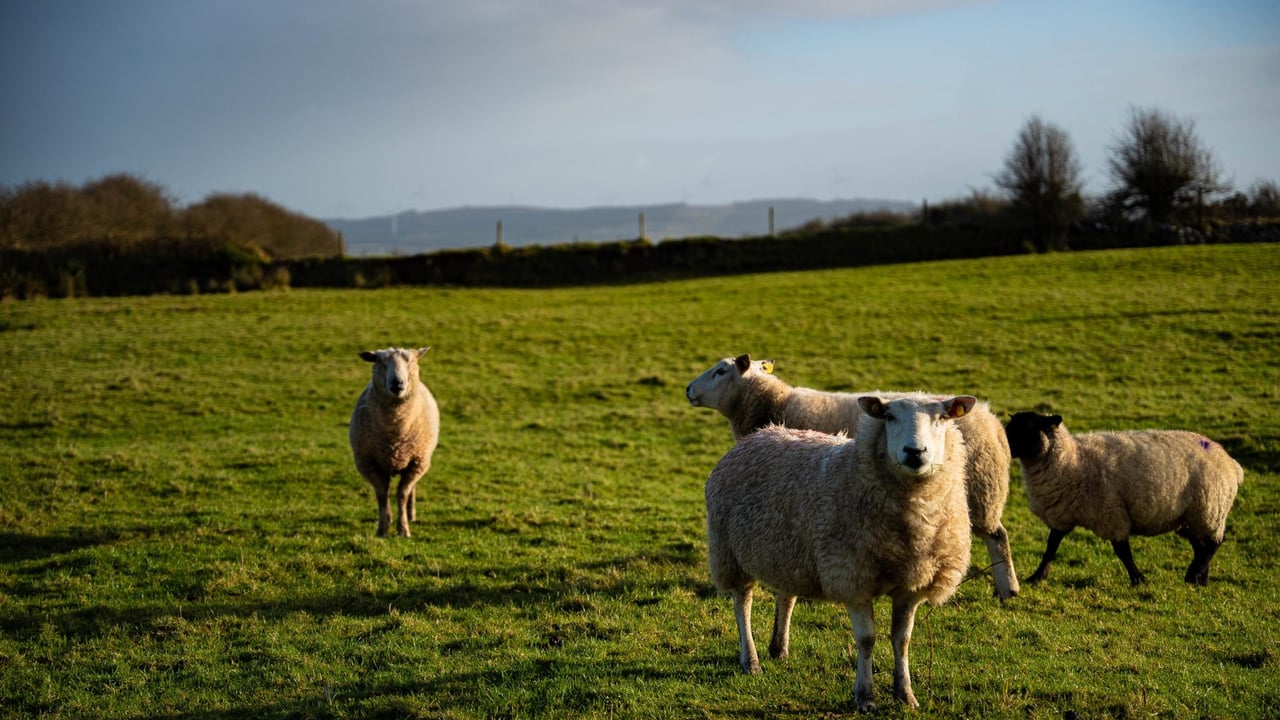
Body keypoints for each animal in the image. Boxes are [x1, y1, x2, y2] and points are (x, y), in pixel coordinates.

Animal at [349, 346, 440, 537]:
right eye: (381, 362)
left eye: (410, 361)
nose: (397, 383)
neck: (395, 431)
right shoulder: (367, 463)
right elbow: (382, 495)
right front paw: (382, 528)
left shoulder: (417, 462)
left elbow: (402, 494)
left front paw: (403, 528)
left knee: (411, 489)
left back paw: (411, 514)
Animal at [687, 353, 1020, 601]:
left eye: (720, 371)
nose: (689, 389)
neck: (771, 403)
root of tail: (993, 423)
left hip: (979, 491)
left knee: (997, 536)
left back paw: (1008, 588)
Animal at [705, 394, 975, 711]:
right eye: (889, 416)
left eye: (942, 418)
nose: (915, 452)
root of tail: (760, 434)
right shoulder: (851, 576)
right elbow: (867, 639)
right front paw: (865, 696)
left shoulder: (912, 584)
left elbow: (903, 640)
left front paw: (905, 694)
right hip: (729, 552)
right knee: (743, 604)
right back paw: (751, 660)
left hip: (790, 550)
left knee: (786, 597)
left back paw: (779, 647)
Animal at [1004, 411, 1244, 586]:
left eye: (1027, 428)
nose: (1003, 446)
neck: (1073, 460)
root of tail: (1231, 462)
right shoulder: (1062, 515)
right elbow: (1051, 548)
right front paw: (1037, 577)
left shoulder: (1112, 514)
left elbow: (1122, 552)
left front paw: (1138, 579)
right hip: (1190, 517)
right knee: (1201, 546)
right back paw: (1200, 578)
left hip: (1208, 510)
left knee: (1213, 544)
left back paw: (1193, 574)